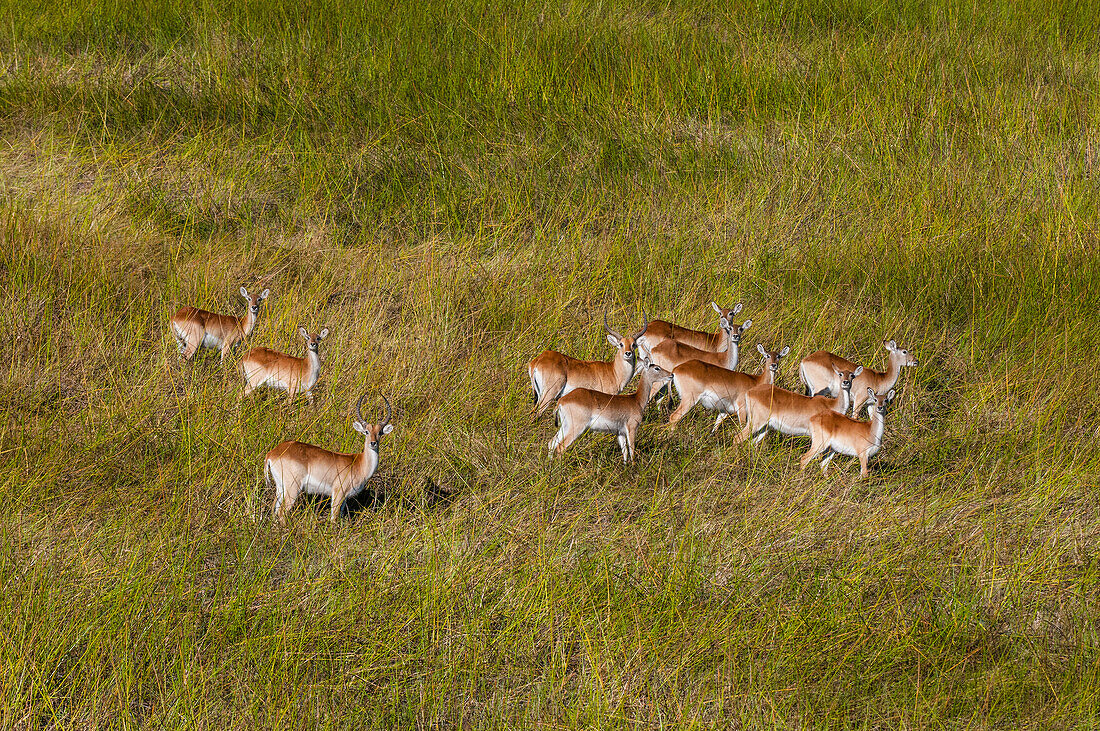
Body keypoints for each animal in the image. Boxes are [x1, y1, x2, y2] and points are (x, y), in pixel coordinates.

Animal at [266, 393, 396, 525]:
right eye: (366, 431)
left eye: (380, 432)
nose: (373, 443)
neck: (359, 464)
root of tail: (273, 453)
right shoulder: (338, 493)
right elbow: (334, 518)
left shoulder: (345, 498)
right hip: (293, 488)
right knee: (281, 513)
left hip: (281, 488)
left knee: (274, 510)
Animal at [734, 364, 862, 444]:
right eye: (840, 374)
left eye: (852, 375)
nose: (845, 382)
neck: (831, 405)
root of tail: (750, 392)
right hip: (756, 422)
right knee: (737, 438)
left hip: (765, 427)